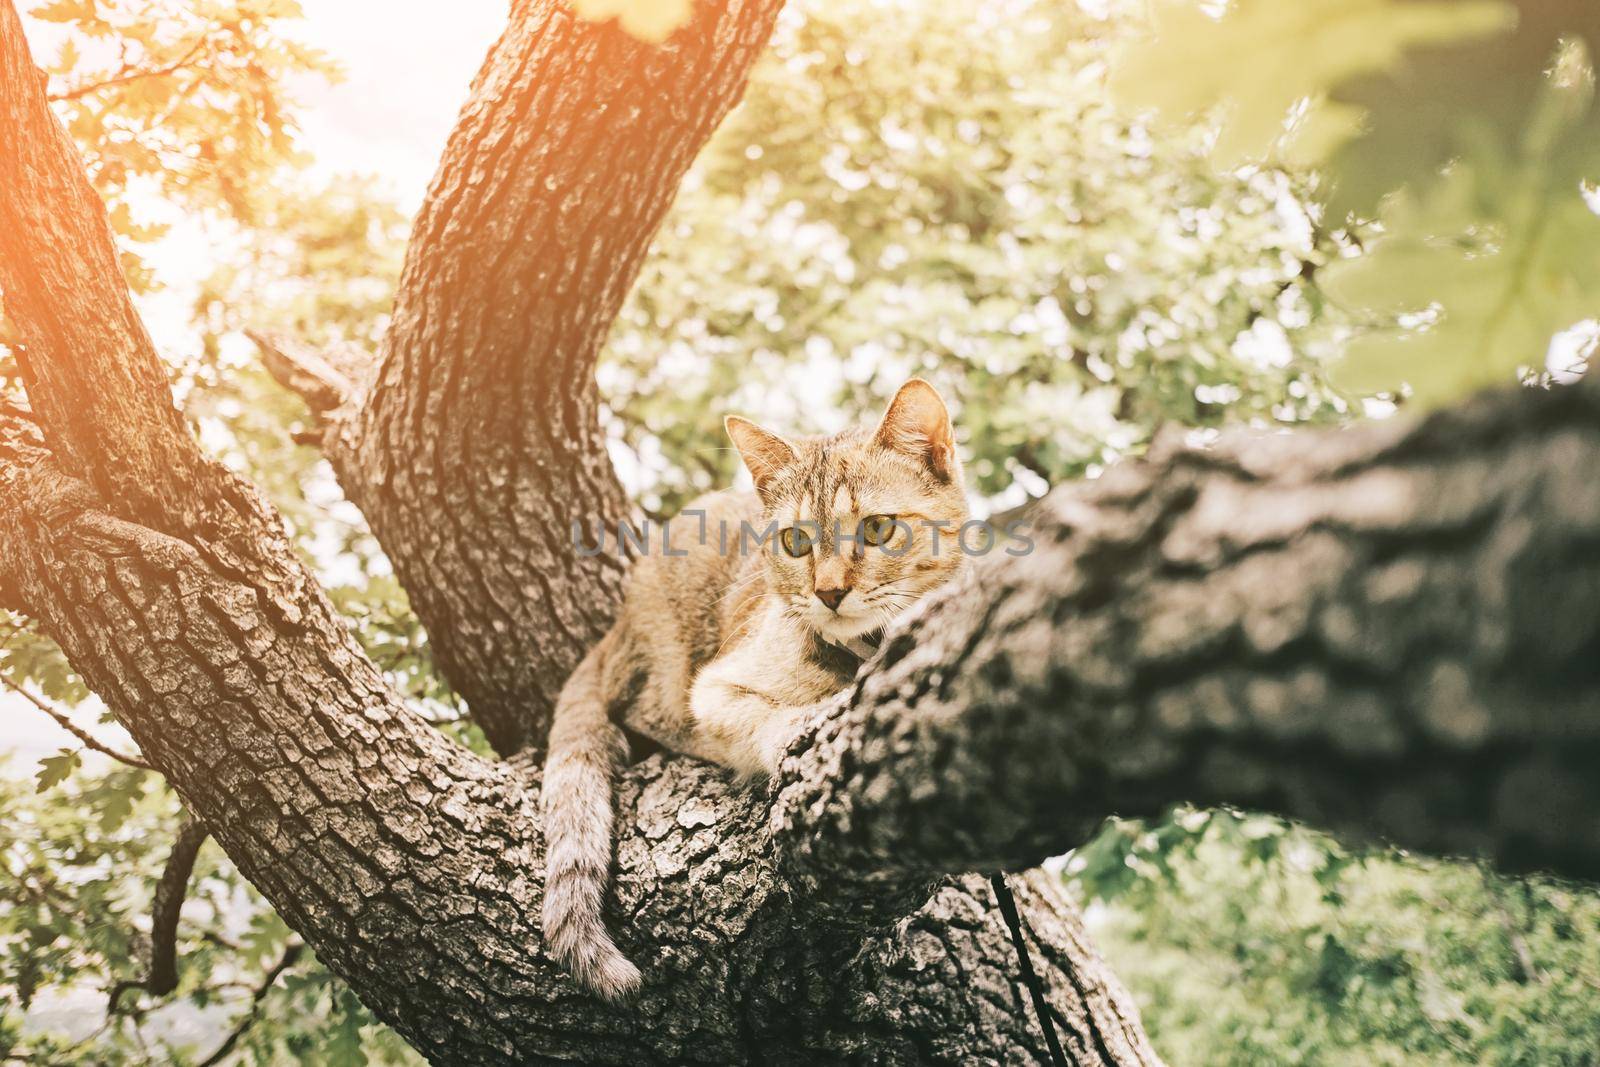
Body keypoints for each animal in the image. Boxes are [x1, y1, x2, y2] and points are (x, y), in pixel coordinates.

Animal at [540, 382, 960, 1004]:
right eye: (795, 541)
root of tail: (619, 622)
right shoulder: (714, 687)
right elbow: (765, 719)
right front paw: (800, 725)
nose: (828, 593)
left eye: (878, 529)